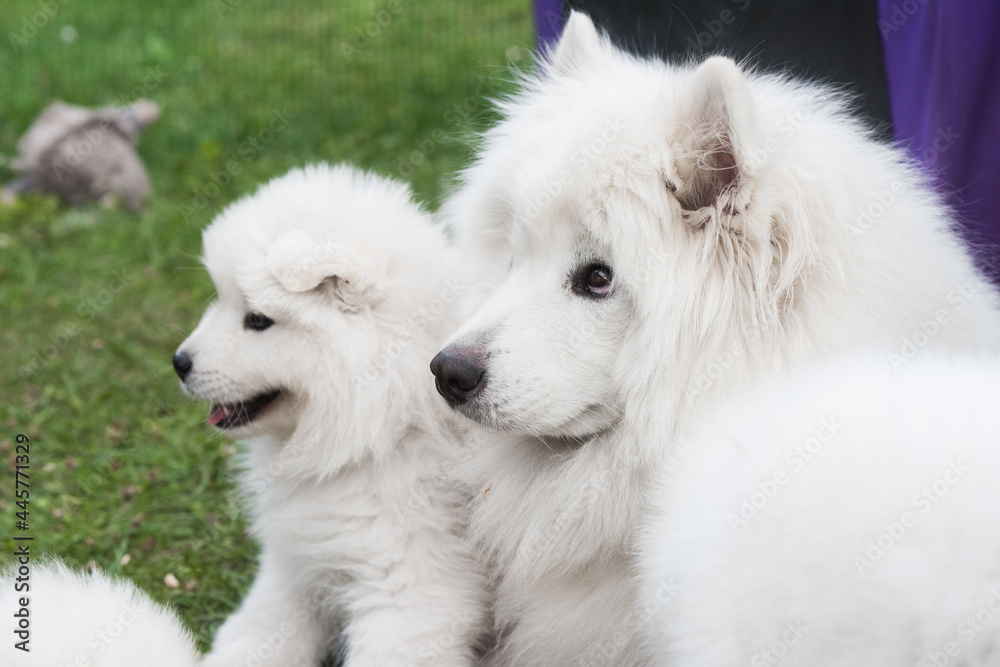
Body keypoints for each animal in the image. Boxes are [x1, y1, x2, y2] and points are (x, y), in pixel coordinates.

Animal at [175, 163, 488, 667]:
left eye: (257, 320)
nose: (179, 362)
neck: (387, 426)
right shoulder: (298, 566)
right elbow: (257, 631)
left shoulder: (410, 594)